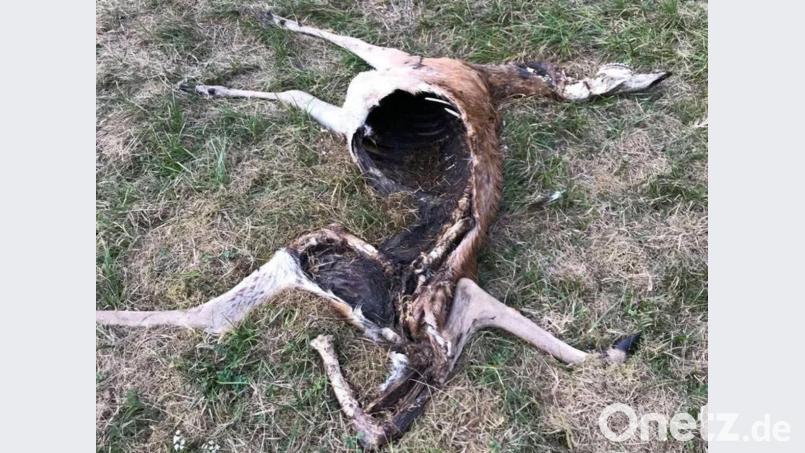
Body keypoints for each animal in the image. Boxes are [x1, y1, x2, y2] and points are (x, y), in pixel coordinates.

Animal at [96, 10, 670, 449]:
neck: (483, 84)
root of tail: (424, 309)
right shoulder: (362, 103)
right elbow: (303, 85)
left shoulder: (378, 78)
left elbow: (299, 84)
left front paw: (235, 58)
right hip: (455, 313)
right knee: (387, 413)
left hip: (316, 254)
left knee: (216, 314)